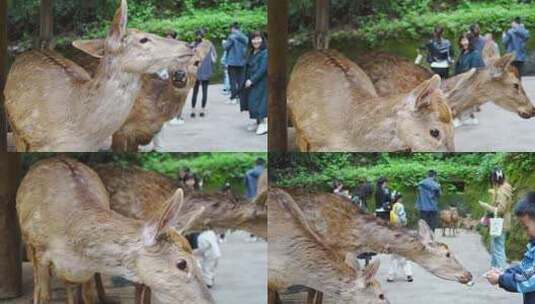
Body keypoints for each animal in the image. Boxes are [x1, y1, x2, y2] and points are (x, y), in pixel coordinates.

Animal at [16, 157, 215, 304]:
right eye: (182, 264)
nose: (209, 302)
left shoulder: (86, 270)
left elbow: (87, 296)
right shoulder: (41, 250)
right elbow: (45, 296)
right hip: (27, 240)